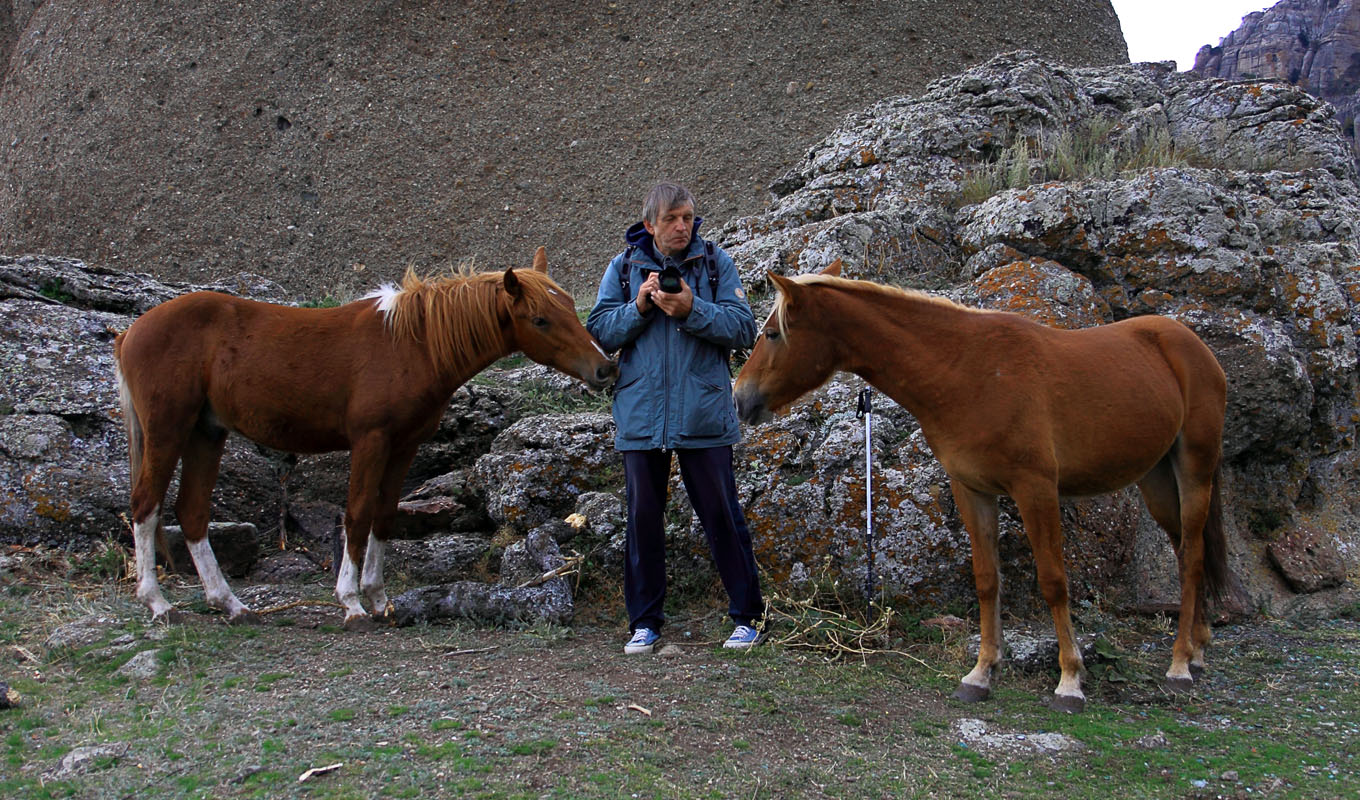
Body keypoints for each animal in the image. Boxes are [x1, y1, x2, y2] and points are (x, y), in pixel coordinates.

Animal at [116, 246, 617, 628]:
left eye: (568, 307)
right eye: (540, 319)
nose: (604, 368)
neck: (411, 345)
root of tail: (132, 331)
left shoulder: (404, 446)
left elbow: (384, 517)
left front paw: (378, 598)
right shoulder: (370, 442)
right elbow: (356, 516)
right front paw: (351, 602)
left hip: (206, 433)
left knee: (192, 514)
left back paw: (231, 604)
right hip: (168, 431)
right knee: (146, 506)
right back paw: (157, 602)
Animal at [739, 262, 1229, 712]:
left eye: (772, 334)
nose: (740, 397)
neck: (966, 370)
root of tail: (1190, 343)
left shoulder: (1035, 488)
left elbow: (1053, 580)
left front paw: (1070, 678)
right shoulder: (972, 489)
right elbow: (986, 580)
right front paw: (981, 673)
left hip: (1194, 471)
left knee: (1192, 558)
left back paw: (1180, 664)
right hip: (1157, 481)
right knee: (1186, 552)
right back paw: (1198, 649)